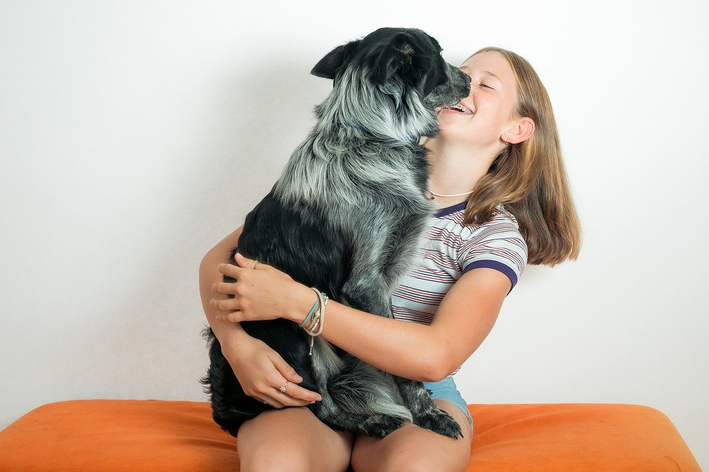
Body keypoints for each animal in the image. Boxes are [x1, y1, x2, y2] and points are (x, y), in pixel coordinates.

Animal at [201, 27, 470, 440]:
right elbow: (402, 368)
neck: (371, 137)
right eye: (438, 53)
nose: (469, 80)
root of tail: (224, 409)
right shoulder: (365, 281)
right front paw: (428, 414)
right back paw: (372, 420)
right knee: (318, 406)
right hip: (293, 334)